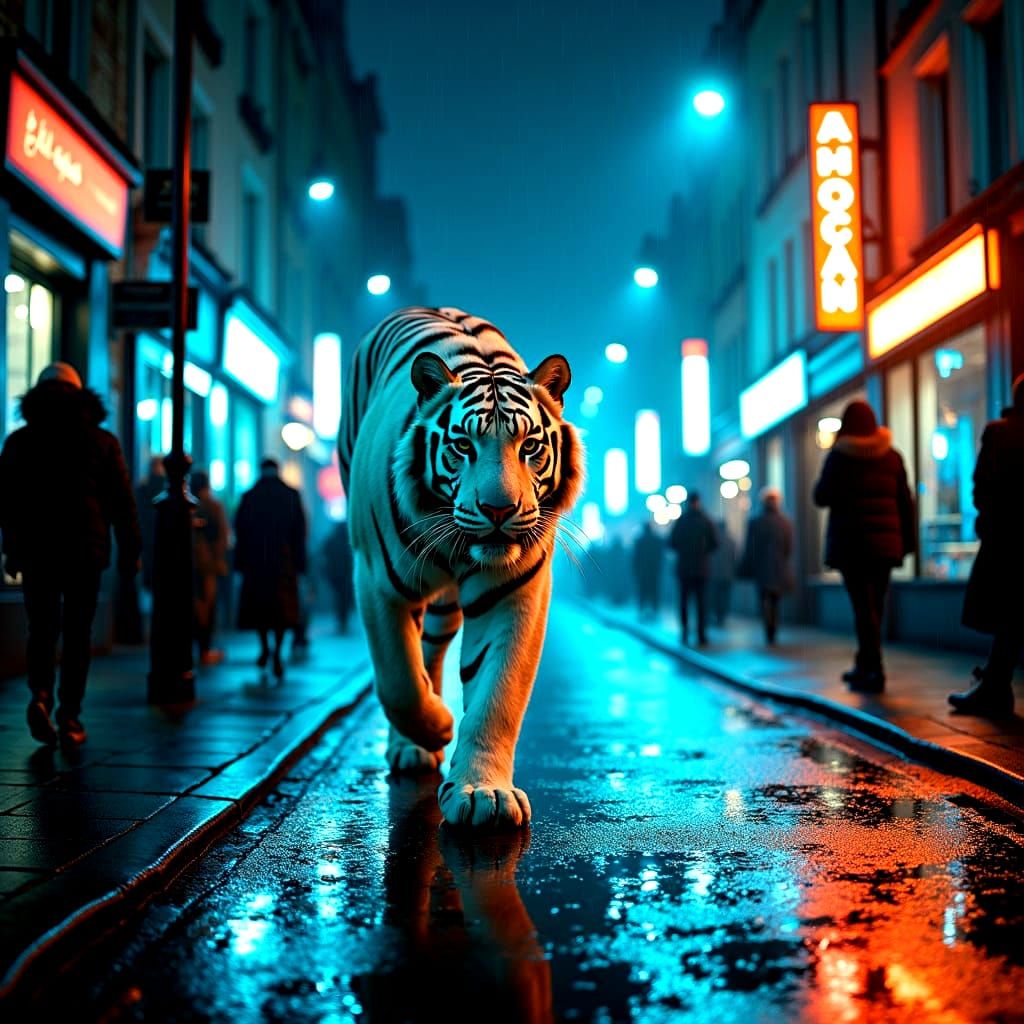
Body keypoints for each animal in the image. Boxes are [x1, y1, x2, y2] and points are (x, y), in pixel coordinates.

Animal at [338, 306, 583, 828]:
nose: (499, 509)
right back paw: (415, 743)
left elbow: (497, 693)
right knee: (414, 661)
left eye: (529, 447)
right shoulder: (375, 581)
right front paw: (438, 726)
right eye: (463, 446)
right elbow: (398, 680)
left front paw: (483, 792)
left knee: (431, 650)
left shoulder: (514, 589)